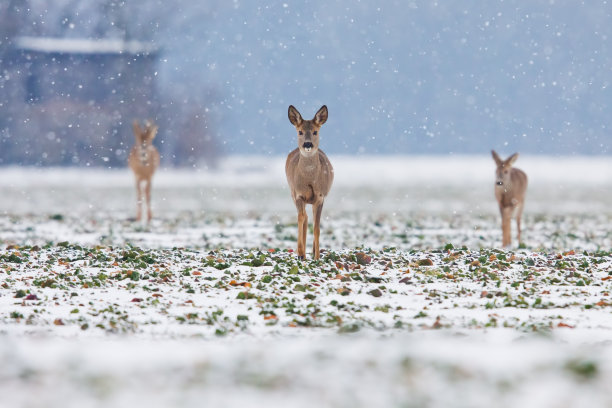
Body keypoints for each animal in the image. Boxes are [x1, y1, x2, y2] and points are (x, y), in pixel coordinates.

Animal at [284, 105, 332, 258]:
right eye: (300, 131)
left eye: (315, 131)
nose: (307, 144)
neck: (310, 180)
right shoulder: (298, 195)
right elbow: (300, 218)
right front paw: (300, 252)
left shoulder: (320, 197)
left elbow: (317, 228)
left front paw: (317, 256)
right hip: (292, 194)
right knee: (304, 217)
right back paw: (302, 253)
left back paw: (311, 251)